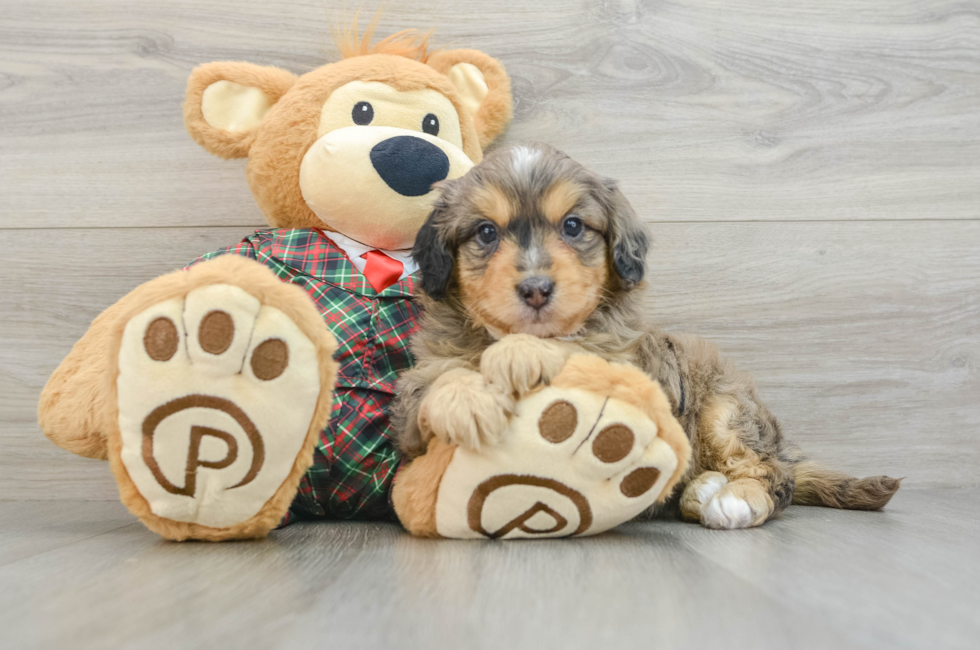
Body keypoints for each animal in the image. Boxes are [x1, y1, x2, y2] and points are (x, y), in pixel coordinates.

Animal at [392, 142, 904, 528]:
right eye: (485, 232)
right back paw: (700, 489)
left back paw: (734, 499)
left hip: (726, 410)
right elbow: (436, 384)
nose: (536, 288)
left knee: (774, 476)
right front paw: (467, 401)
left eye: (573, 226)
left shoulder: (627, 379)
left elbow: (576, 356)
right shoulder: (420, 390)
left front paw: (523, 354)